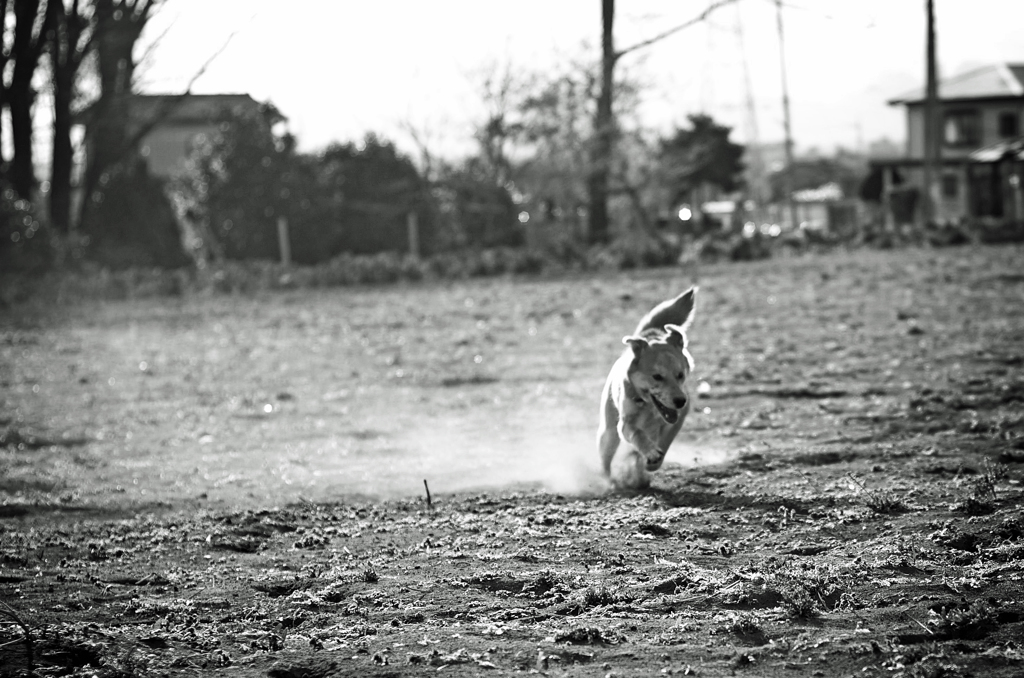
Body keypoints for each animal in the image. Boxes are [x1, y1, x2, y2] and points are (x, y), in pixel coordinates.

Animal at [598, 286, 700, 489]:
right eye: (657, 376)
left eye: (680, 375)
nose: (680, 401)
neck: (650, 408)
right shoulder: (625, 424)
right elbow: (637, 434)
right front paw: (651, 453)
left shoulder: (677, 419)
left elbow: (665, 440)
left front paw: (653, 461)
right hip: (608, 433)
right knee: (606, 457)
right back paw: (610, 481)